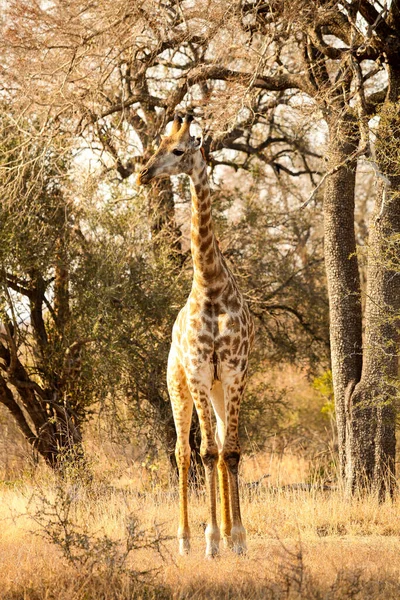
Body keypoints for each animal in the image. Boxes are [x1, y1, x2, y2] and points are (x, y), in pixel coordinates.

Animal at [137, 113, 253, 556]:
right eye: (157, 144)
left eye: (178, 150)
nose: (144, 173)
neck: (211, 286)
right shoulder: (201, 372)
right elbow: (205, 453)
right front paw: (212, 540)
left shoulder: (234, 373)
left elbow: (229, 452)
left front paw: (237, 538)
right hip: (177, 385)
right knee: (183, 452)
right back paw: (186, 539)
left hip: (218, 390)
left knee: (218, 444)